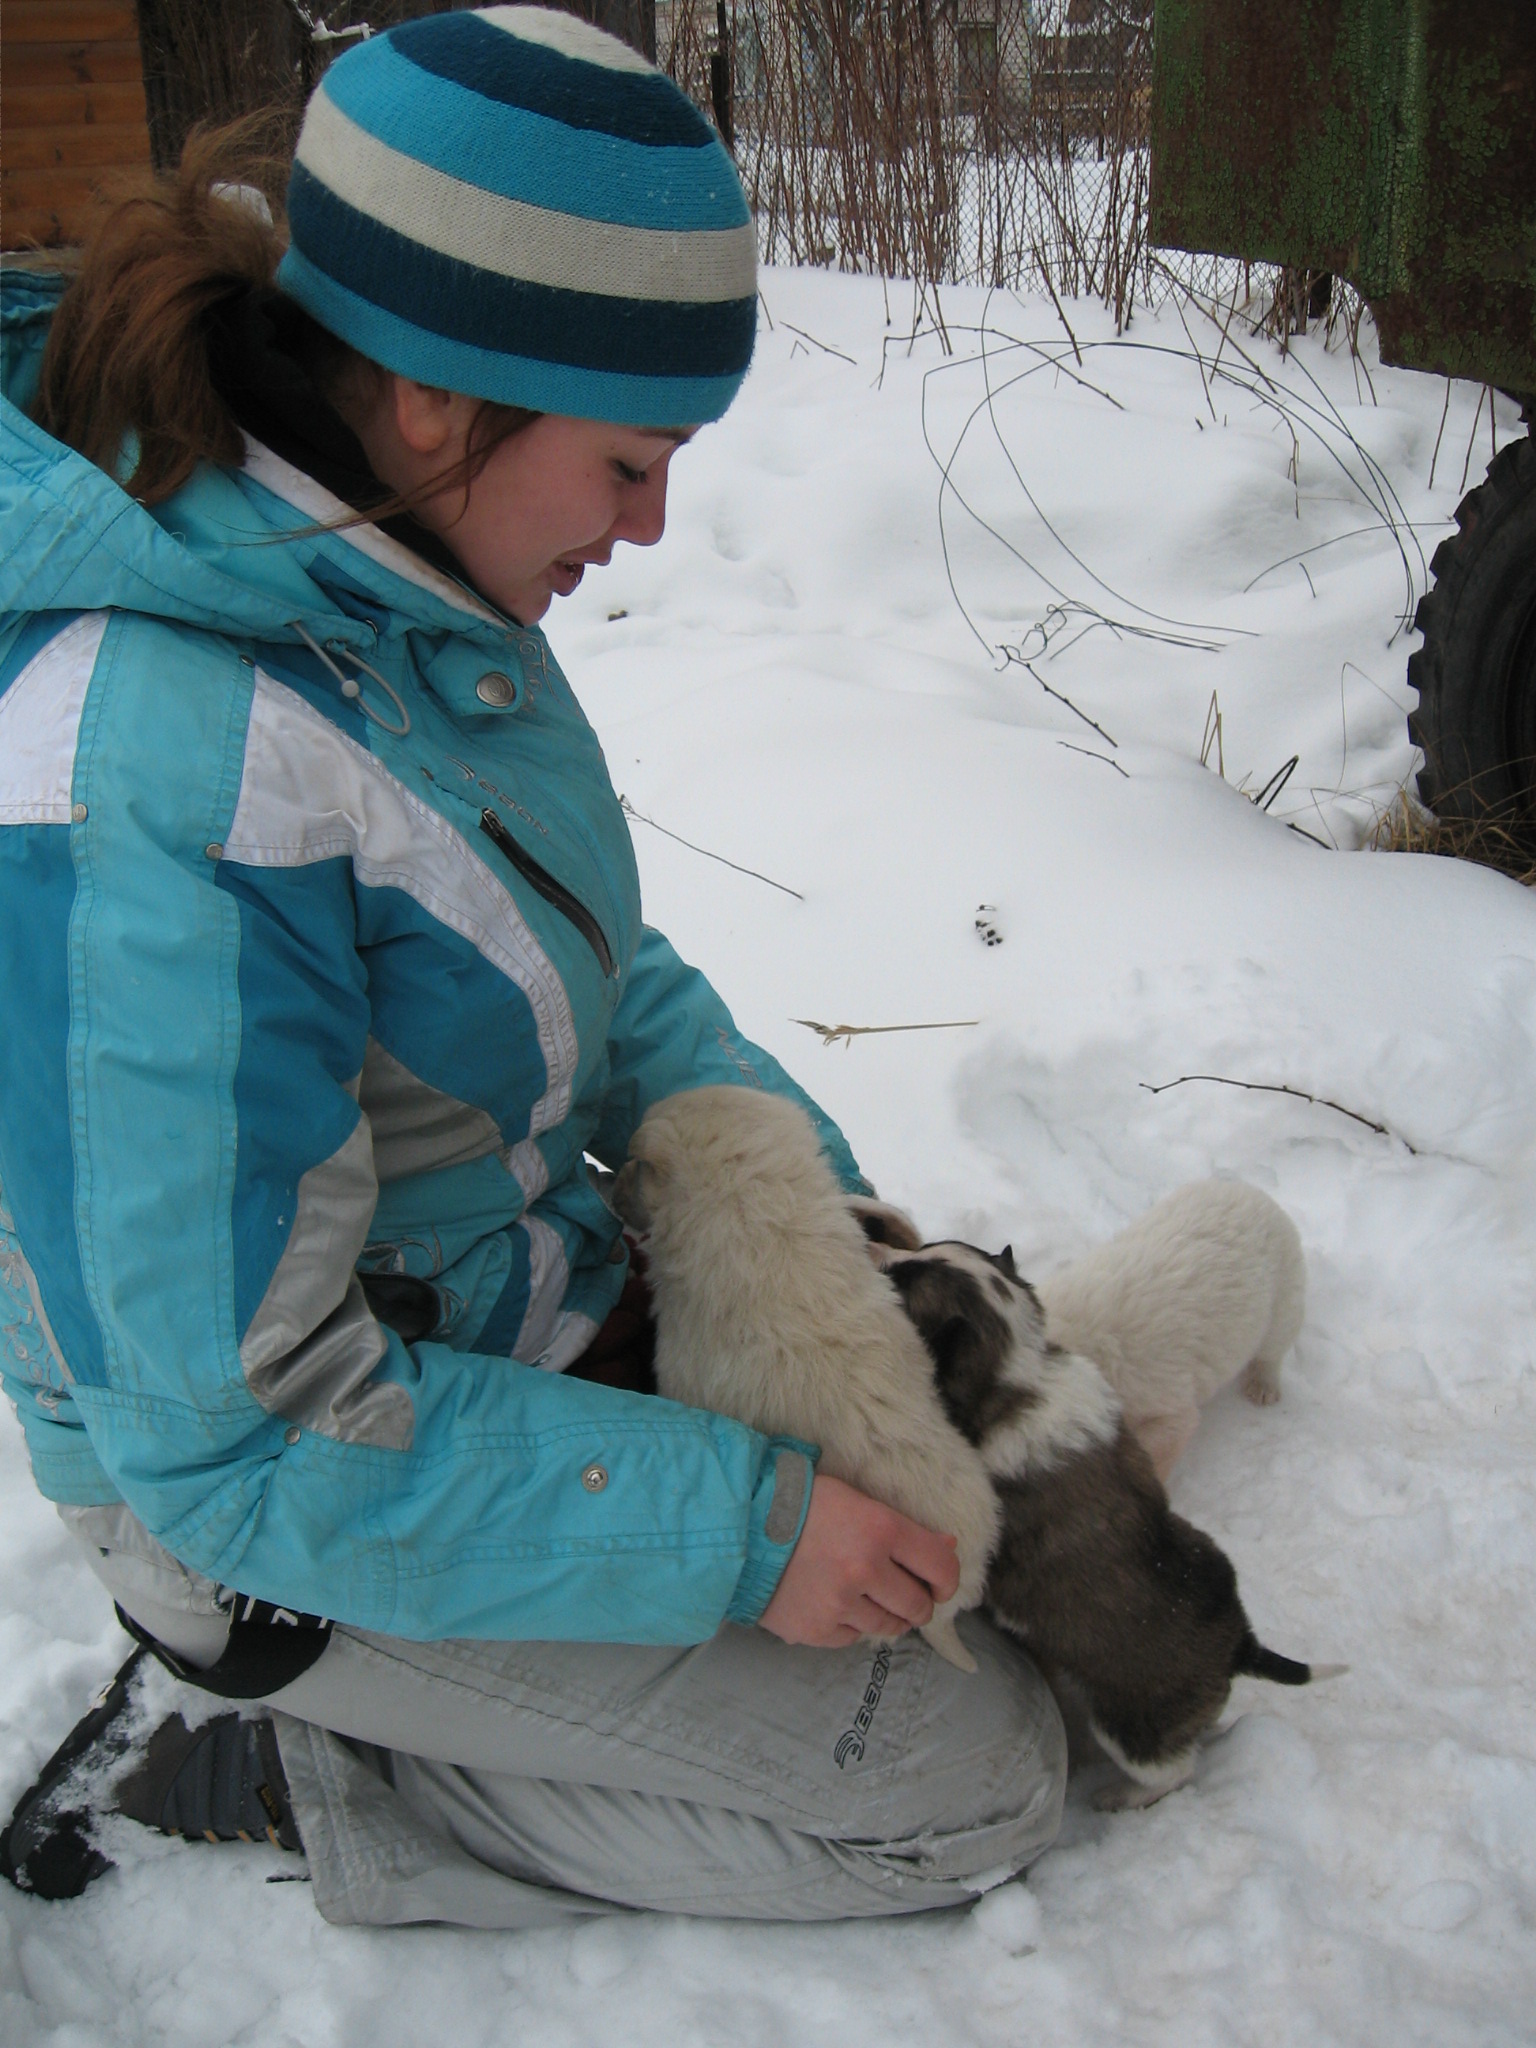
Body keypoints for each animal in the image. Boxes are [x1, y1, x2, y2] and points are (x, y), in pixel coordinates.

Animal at [879, 1238, 1336, 1806]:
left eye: (907, 1281)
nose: (877, 1252)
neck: (1018, 1371)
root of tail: (1241, 1646)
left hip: (1132, 1727)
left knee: (1173, 1773)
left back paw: (1120, 1799)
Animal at [1036, 1181, 1306, 1480]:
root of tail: (1252, 1190)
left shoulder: (1159, 1401)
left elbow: (1165, 1438)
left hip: (1285, 1294)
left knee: (1273, 1348)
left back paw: (1262, 1386)